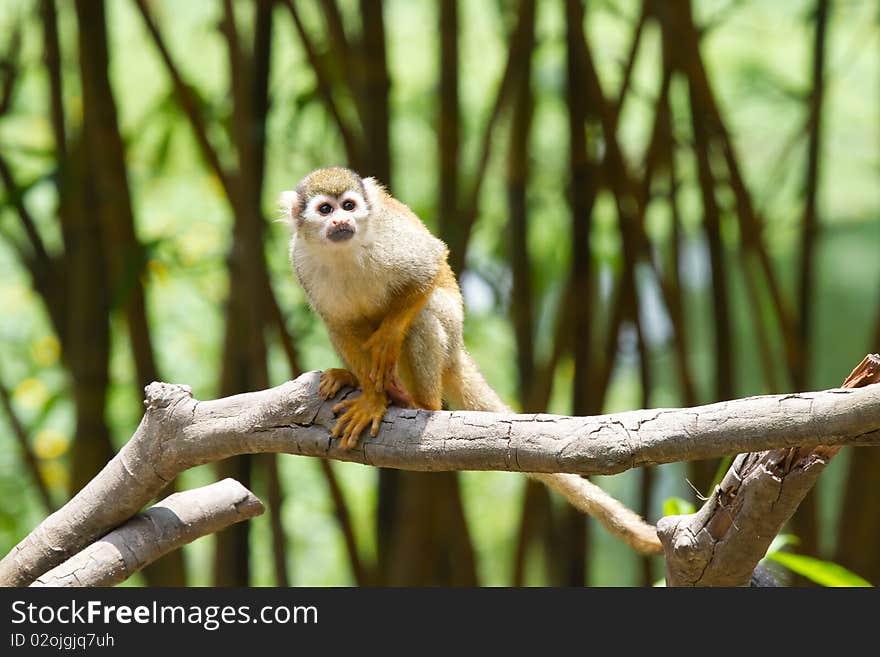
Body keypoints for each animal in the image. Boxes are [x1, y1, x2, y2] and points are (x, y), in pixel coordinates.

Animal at [282, 168, 660, 552]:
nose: (341, 221)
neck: (343, 252)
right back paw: (361, 380)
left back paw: (417, 401)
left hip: (451, 330)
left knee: (425, 314)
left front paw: (384, 354)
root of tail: (457, 351)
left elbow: (431, 263)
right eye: (325, 209)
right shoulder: (301, 262)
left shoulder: (391, 239)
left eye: (348, 205)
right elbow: (337, 324)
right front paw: (372, 395)